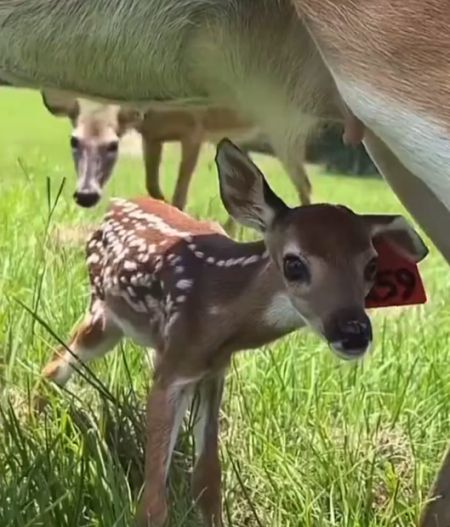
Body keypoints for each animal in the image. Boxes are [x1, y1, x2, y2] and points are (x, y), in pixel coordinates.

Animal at [39, 141, 428, 527]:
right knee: (54, 367)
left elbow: (208, 478)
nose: (353, 332)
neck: (220, 313)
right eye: (294, 263)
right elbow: (153, 499)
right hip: (102, 315)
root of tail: (113, 205)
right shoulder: (174, 368)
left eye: (372, 266)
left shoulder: (214, 370)